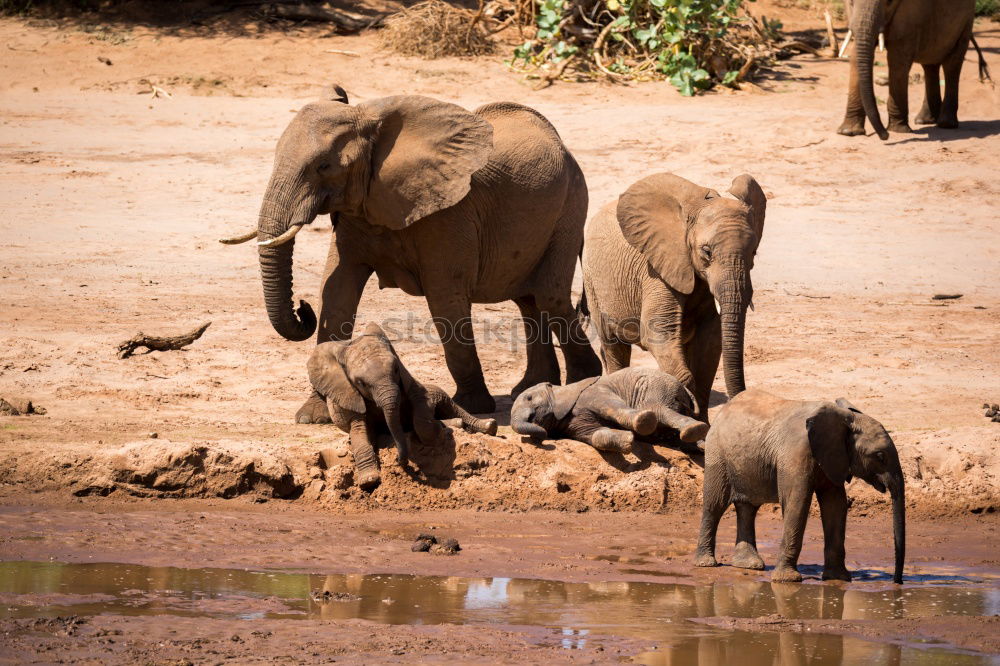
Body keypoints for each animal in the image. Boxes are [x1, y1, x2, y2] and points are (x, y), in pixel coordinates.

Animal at [223, 87, 600, 420]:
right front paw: (314, 414)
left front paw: (470, 406)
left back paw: (585, 379)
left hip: (570, 207)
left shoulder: (449, 213)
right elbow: (336, 291)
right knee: (528, 301)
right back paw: (531, 387)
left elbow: (445, 297)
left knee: (549, 297)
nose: (302, 309)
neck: (370, 123)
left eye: (324, 166)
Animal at [306, 322, 498, 488]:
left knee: (448, 402)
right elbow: (359, 433)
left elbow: (421, 401)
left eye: (396, 369)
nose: (400, 461)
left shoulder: (408, 380)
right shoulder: (347, 396)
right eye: (361, 383)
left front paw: (436, 433)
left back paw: (487, 425)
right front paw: (369, 481)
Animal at [508, 366, 712, 454]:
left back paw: (694, 430)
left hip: (658, 386)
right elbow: (594, 434)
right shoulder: (571, 424)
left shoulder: (594, 392)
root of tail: (685, 390)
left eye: (529, 398)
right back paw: (699, 445)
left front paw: (639, 426)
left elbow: (615, 407)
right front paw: (628, 441)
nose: (543, 440)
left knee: (656, 408)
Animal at [580, 172, 764, 420]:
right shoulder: (657, 270)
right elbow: (658, 331)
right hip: (592, 278)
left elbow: (710, 341)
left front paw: (702, 425)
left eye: (754, 252)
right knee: (613, 345)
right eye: (707, 252)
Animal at [696, 390, 908, 580]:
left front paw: (838, 578)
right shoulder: (795, 453)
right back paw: (706, 563)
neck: (846, 418)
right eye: (880, 456)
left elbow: (835, 506)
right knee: (714, 505)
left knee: (748, 508)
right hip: (716, 454)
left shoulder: (833, 456)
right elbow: (797, 503)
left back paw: (749, 565)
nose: (897, 581)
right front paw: (786, 580)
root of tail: (725, 408)